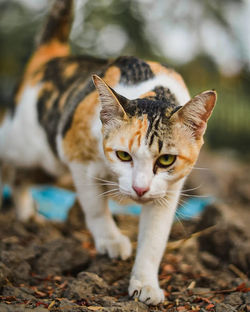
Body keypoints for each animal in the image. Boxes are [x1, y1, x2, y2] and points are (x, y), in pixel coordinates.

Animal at [0, 0, 217, 304]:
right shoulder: (78, 159)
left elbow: (155, 239)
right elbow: (95, 207)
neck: (154, 93)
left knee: (20, 178)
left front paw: (145, 283)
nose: (139, 189)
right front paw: (111, 241)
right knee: (11, 168)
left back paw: (27, 215)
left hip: (49, 167)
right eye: (123, 155)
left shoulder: (170, 189)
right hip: (27, 148)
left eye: (166, 160)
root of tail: (52, 57)